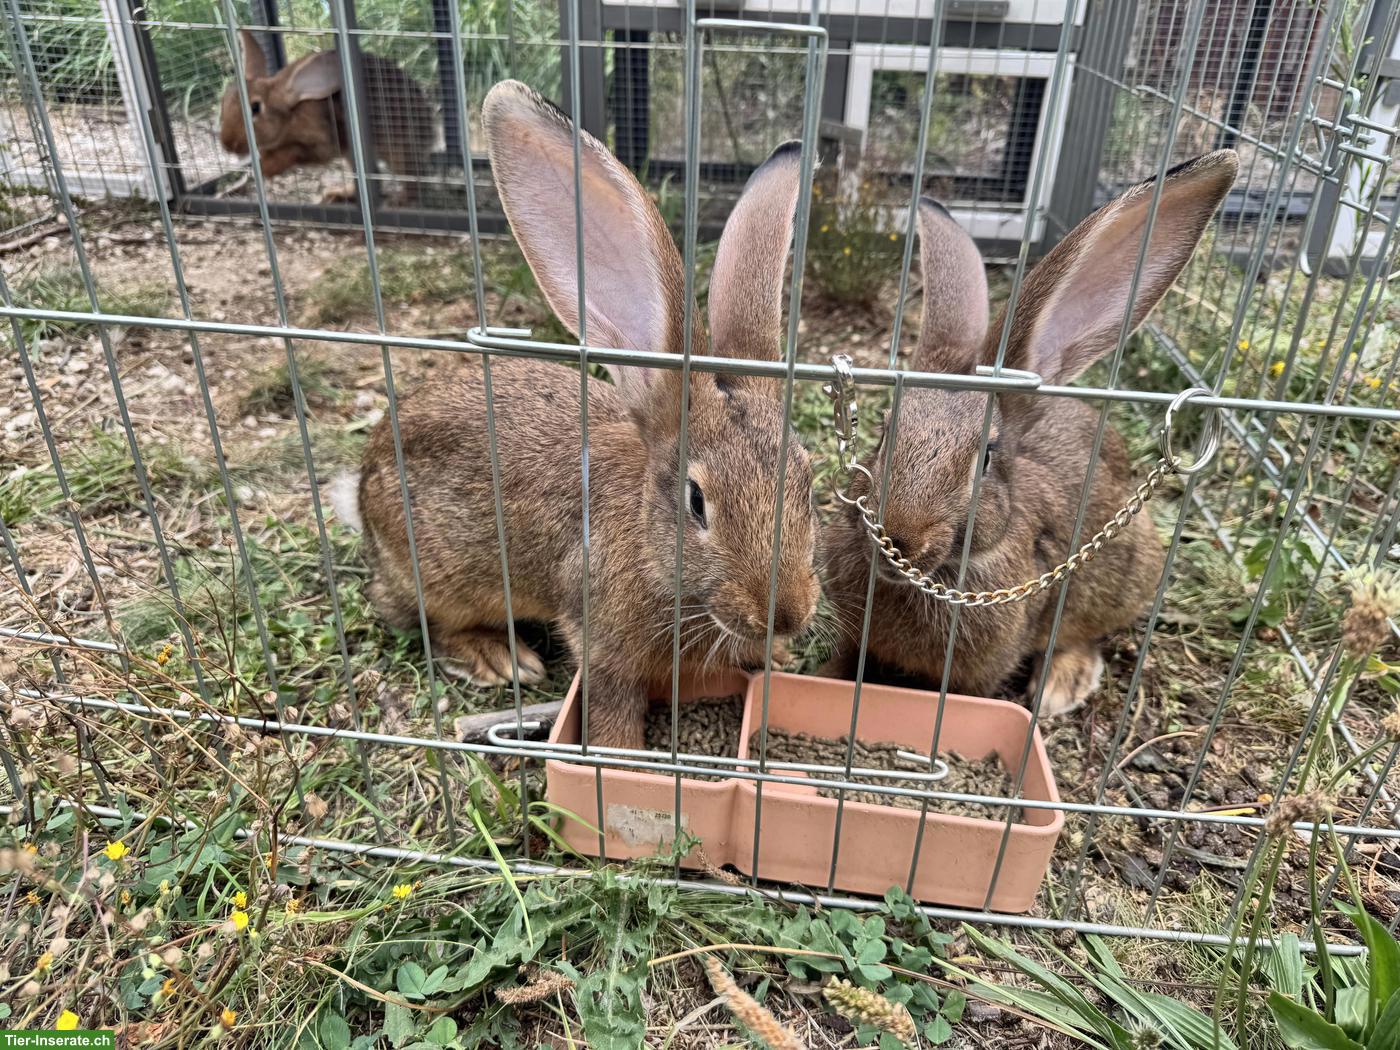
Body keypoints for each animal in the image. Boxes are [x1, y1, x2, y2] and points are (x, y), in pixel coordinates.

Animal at [219, 29, 434, 201]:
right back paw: (340, 194)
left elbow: (297, 152)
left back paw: (401, 200)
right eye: (225, 100)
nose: (228, 144)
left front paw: (266, 168)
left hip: (398, 145)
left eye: (255, 108)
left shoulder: (323, 141)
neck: (290, 118)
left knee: (413, 175)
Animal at [349, 80, 822, 749]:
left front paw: (774, 658)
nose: (785, 614)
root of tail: (363, 483)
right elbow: (612, 703)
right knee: (416, 618)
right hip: (440, 576)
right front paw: (624, 755)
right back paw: (499, 657)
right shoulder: (600, 640)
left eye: (809, 485)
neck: (652, 549)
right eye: (696, 501)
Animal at [820, 150, 1239, 717]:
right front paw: (821, 676)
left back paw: (1062, 685)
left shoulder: (983, 667)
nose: (895, 538)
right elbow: (844, 660)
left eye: (986, 458)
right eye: (884, 433)